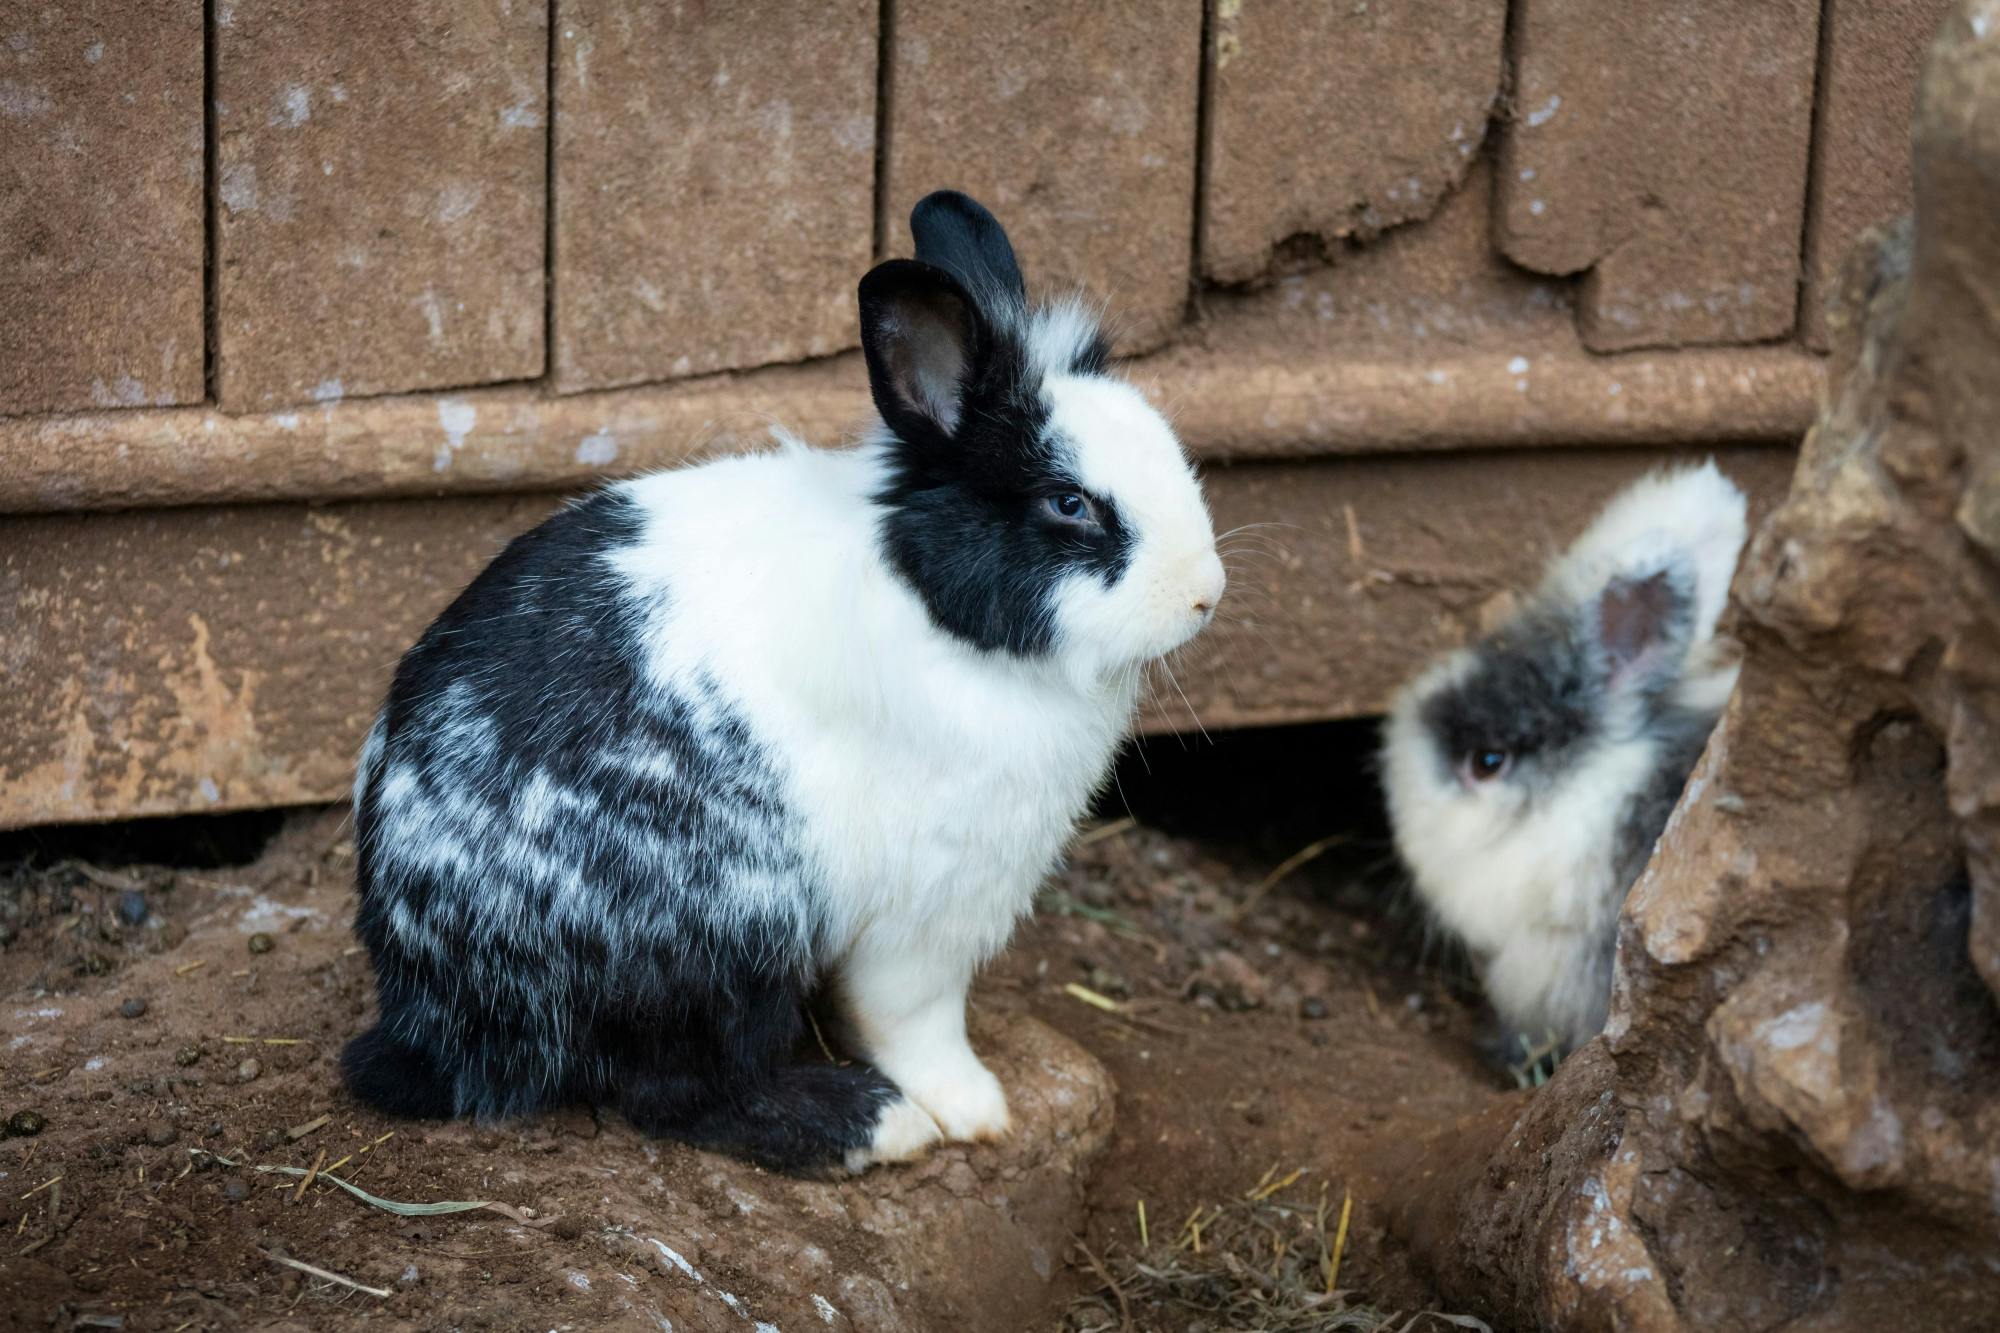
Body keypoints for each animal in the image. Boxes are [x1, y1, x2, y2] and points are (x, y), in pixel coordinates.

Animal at [338, 192, 1224, 1168]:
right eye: (1070, 504)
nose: (1205, 593)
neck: (932, 601)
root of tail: (434, 1000)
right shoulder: (932, 902)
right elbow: (915, 1016)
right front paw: (975, 1107)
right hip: (729, 934)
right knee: (680, 1088)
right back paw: (873, 1123)